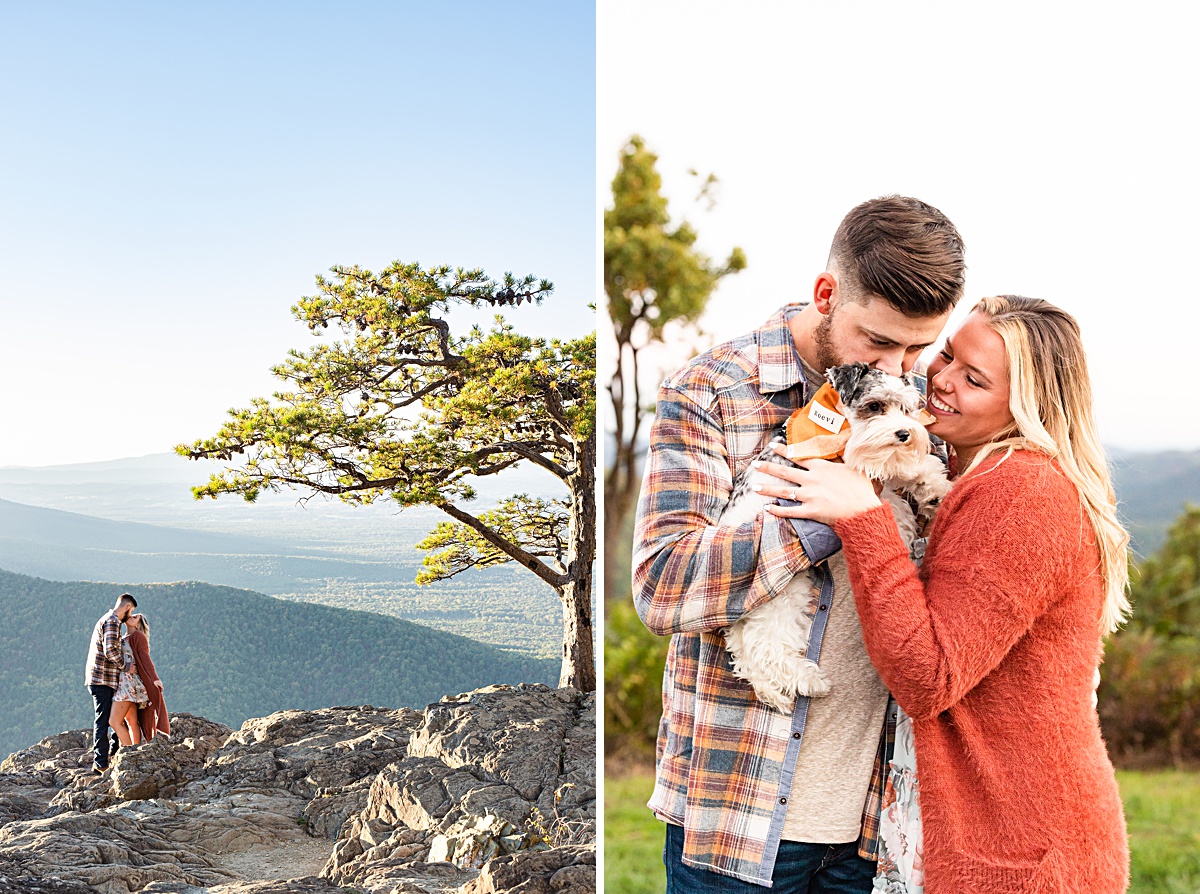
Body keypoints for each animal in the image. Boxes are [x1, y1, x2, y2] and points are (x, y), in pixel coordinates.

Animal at [715, 362, 950, 710]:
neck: (840, 425)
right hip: (779, 597)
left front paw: (934, 489)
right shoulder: (856, 463)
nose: (904, 433)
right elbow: (893, 470)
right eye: (875, 406)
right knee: (766, 646)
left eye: (907, 409)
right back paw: (809, 682)